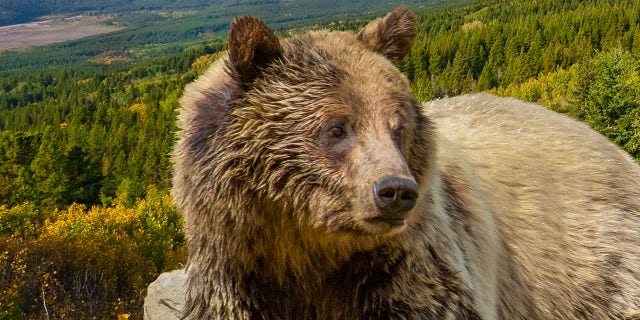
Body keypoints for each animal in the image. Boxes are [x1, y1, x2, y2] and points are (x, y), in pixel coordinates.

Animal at [171, 5, 640, 320]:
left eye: (398, 128)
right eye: (336, 129)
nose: (395, 191)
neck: (305, 254)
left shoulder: (408, 271)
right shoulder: (236, 274)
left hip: (596, 264)